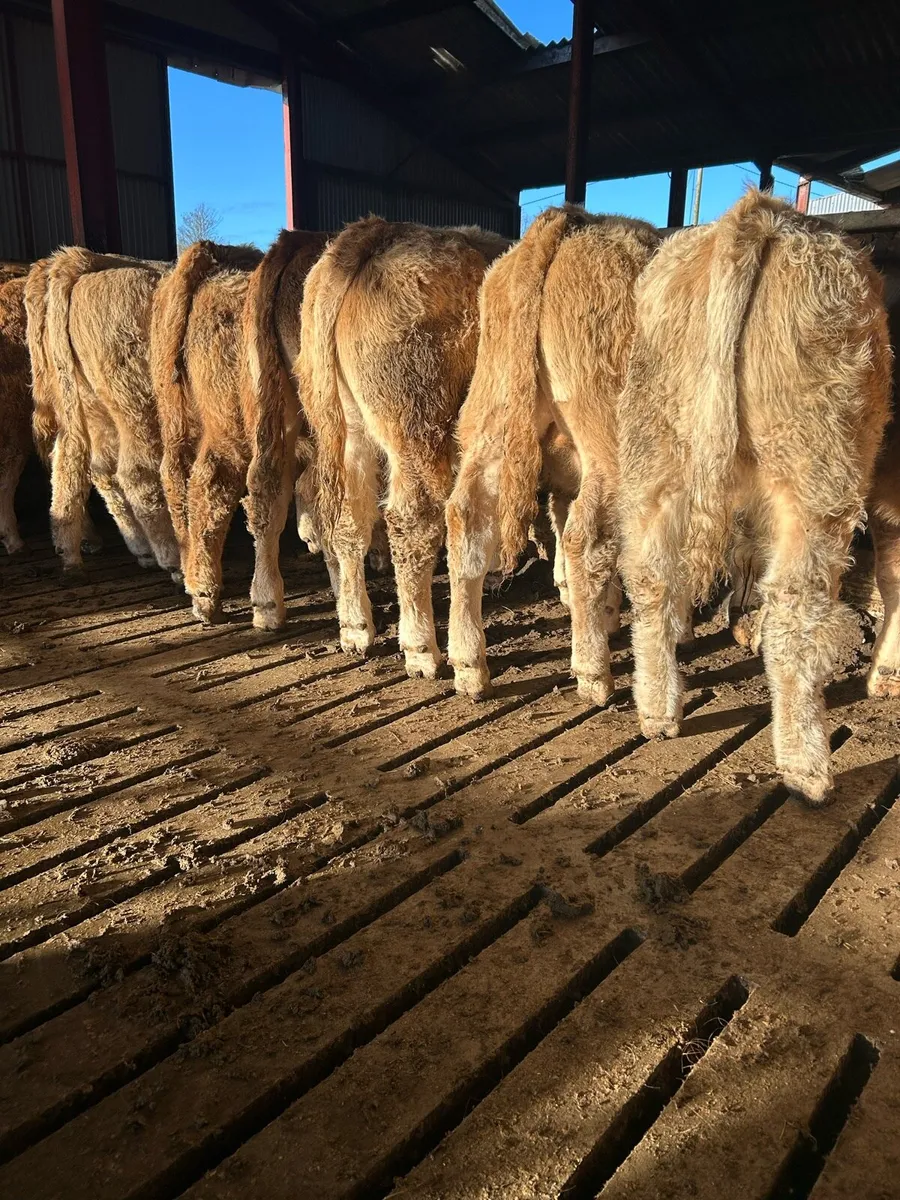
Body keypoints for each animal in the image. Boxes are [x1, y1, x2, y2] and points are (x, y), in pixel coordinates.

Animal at [25, 248, 180, 576]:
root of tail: (80, 259)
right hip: (137, 409)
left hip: (88, 409)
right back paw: (172, 558)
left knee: (81, 465)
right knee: (135, 473)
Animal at [298, 217, 509, 678]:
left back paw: (355, 627)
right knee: (413, 524)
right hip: (417, 428)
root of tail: (375, 233)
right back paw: (421, 649)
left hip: (350, 430)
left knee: (349, 522)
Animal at [445, 205, 659, 701]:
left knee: (466, 519)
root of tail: (573, 219)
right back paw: (594, 674)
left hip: (491, 422)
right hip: (612, 446)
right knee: (588, 539)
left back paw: (469, 665)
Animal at [617, 190, 891, 805]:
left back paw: (658, 712)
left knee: (650, 576)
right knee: (795, 606)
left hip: (655, 453)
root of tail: (764, 214)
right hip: (819, 468)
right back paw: (807, 767)